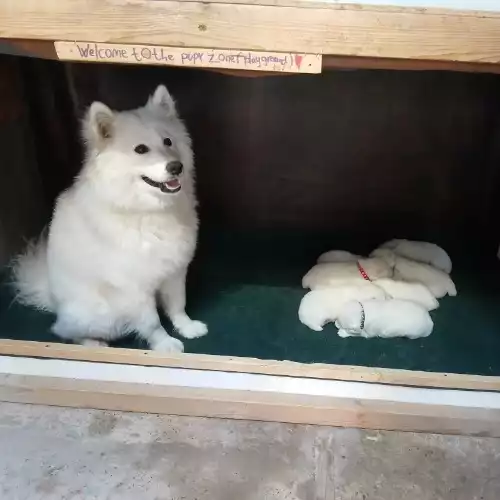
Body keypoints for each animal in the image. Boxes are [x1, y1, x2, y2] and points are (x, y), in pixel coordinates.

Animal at [12, 85, 207, 352]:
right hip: (103, 314)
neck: (145, 210)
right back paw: (94, 344)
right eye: (140, 149)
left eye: (168, 141)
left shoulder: (174, 271)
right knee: (64, 331)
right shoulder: (133, 288)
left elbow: (178, 306)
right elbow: (152, 323)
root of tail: (52, 296)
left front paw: (187, 328)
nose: (176, 166)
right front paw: (165, 345)